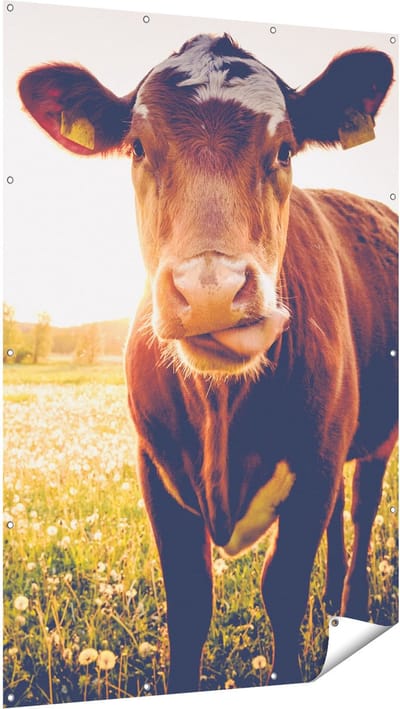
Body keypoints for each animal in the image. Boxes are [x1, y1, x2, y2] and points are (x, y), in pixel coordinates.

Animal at [19, 33, 398, 693]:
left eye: (285, 149)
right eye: (138, 147)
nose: (212, 292)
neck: (223, 407)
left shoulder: (317, 462)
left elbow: (282, 590)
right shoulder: (155, 467)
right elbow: (190, 602)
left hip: (373, 437)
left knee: (360, 511)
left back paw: (349, 605)